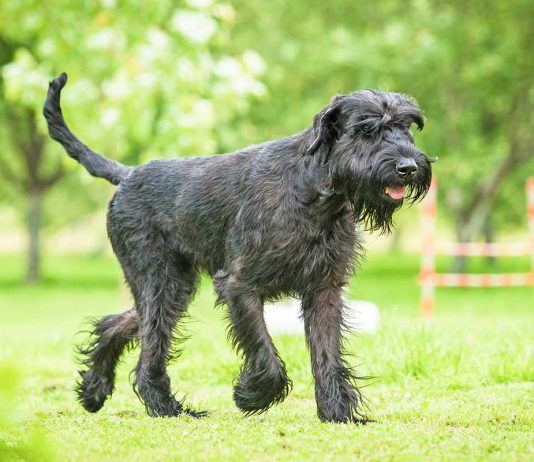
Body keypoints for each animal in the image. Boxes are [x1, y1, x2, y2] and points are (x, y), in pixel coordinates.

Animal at [44, 72, 434, 422]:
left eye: (406, 126)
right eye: (366, 130)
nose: (408, 167)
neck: (315, 194)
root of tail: (126, 174)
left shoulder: (324, 289)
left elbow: (327, 354)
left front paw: (337, 412)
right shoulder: (240, 285)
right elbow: (264, 351)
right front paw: (250, 396)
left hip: (174, 286)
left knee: (118, 324)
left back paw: (94, 391)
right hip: (160, 282)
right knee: (150, 349)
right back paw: (167, 408)